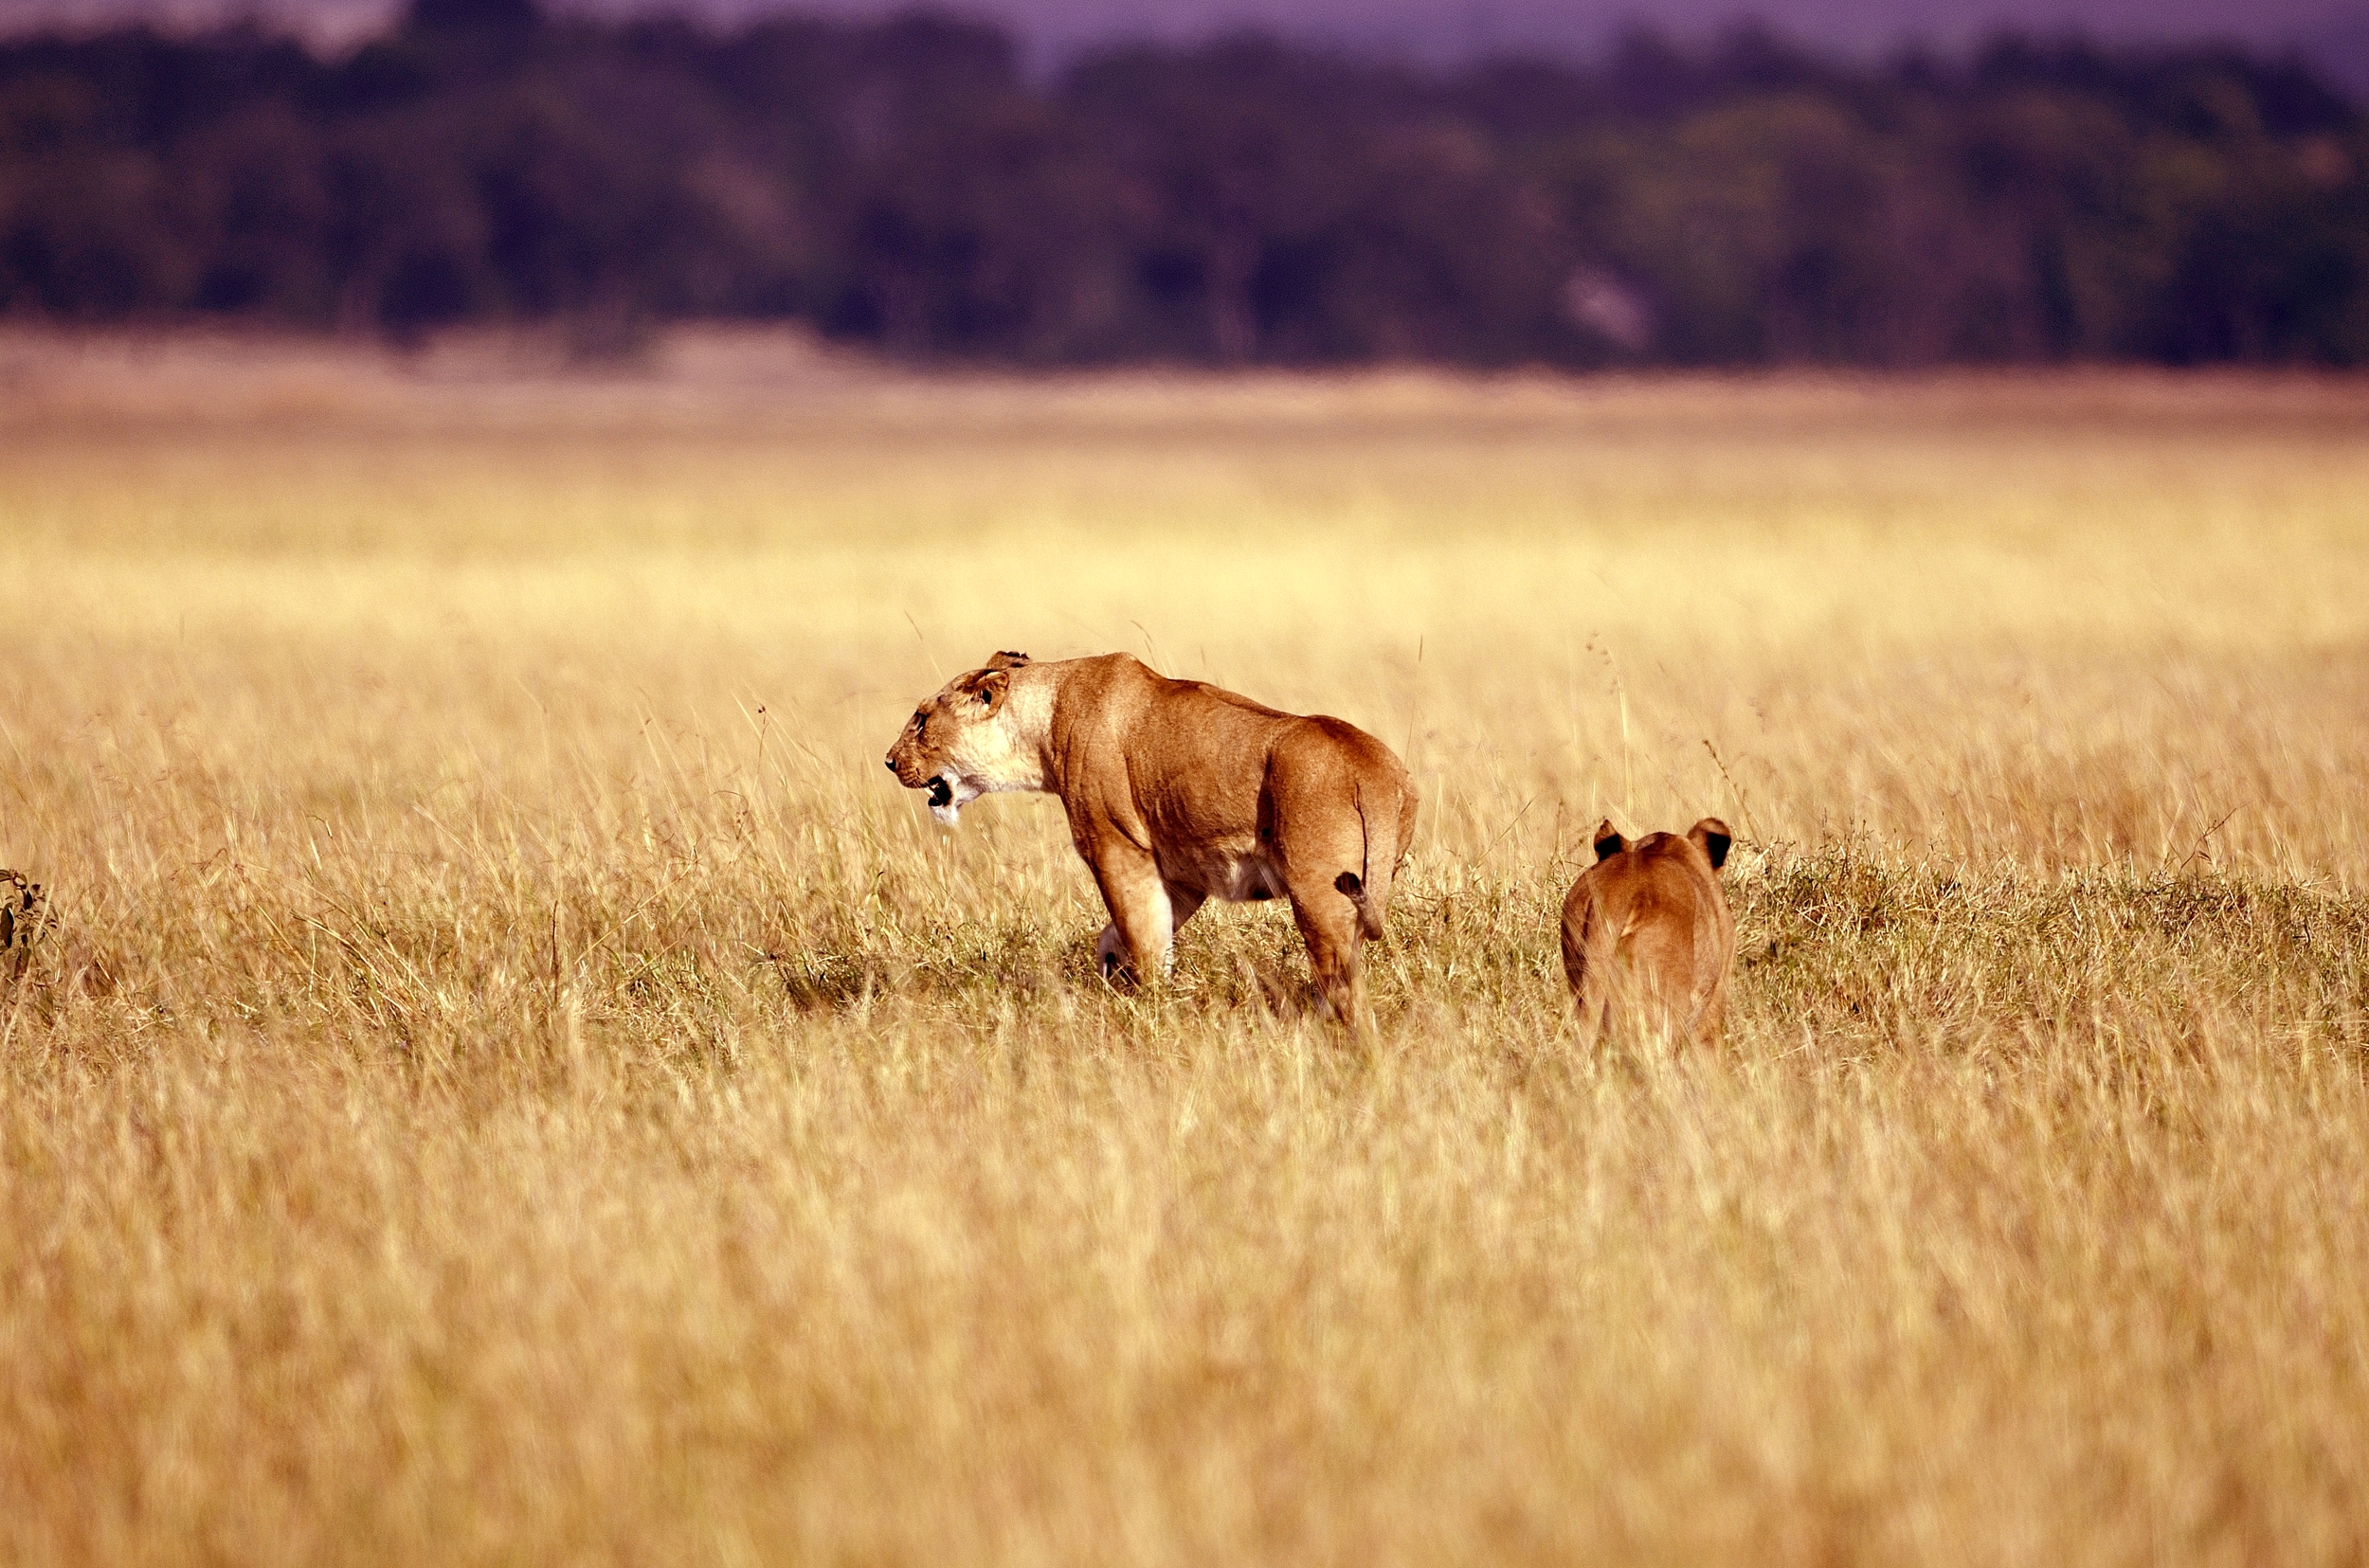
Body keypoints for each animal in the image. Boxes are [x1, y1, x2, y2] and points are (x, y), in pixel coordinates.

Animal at [885, 650, 1418, 1031]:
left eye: (921, 719)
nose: (889, 761)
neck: (1044, 723)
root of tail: (1373, 766)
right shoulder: (1182, 872)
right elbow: (1127, 934)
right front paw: (1115, 976)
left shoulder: (1118, 848)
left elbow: (1142, 934)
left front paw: (1152, 1009)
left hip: (1317, 894)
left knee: (1346, 986)